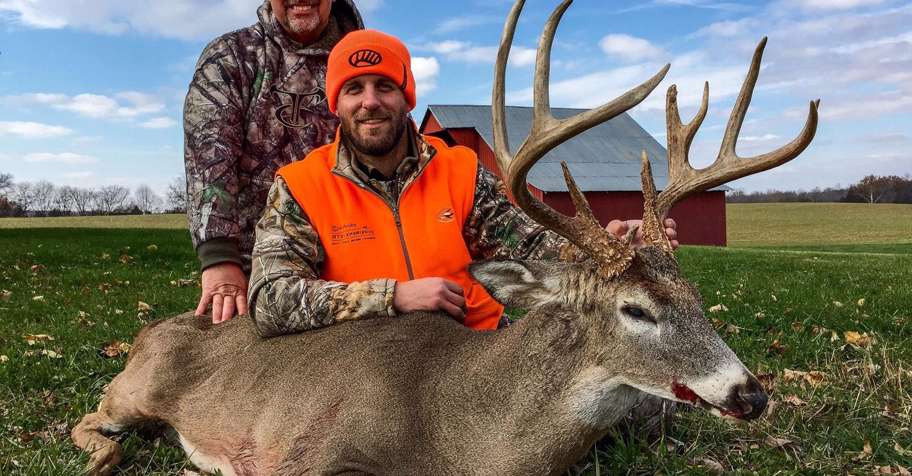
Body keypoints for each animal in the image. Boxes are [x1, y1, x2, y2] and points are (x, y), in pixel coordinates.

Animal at [72, 0, 819, 474]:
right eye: (635, 309)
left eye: (694, 294)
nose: (751, 395)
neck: (459, 434)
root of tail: (151, 328)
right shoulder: (297, 452)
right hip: (135, 391)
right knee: (95, 419)